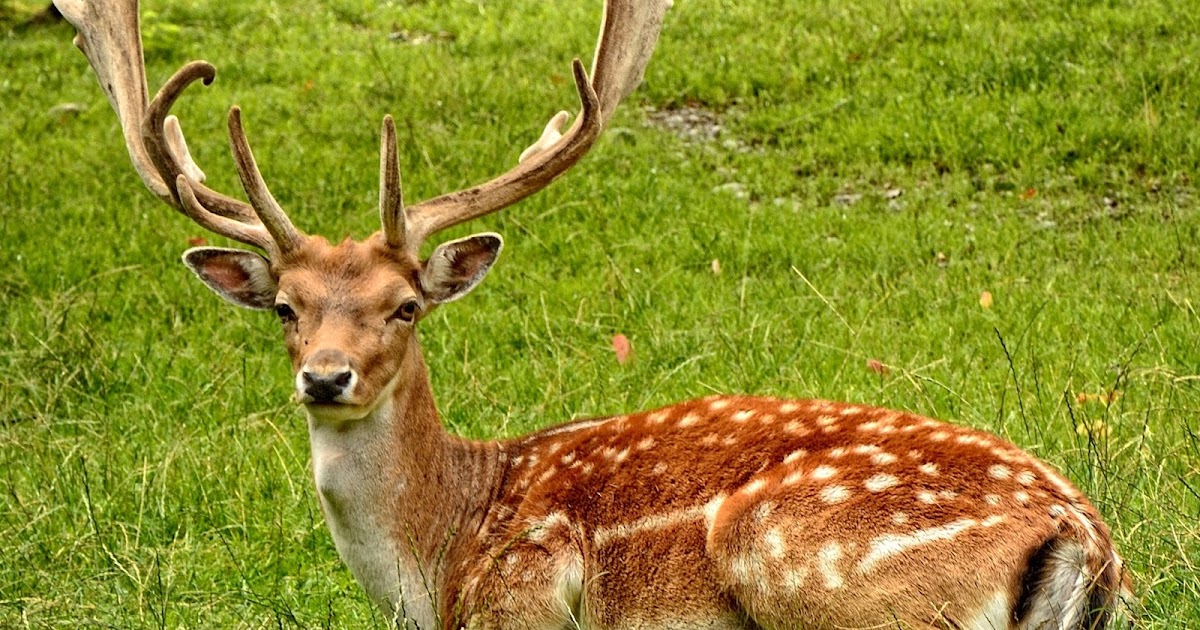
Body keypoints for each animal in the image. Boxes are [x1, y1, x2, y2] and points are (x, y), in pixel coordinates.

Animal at [54, 0, 1134, 627]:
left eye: (405, 306)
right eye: (286, 305)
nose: (326, 376)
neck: (439, 557)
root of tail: (1088, 544)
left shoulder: (525, 595)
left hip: (796, 558)